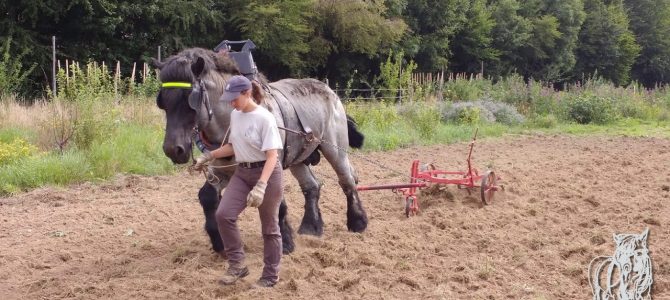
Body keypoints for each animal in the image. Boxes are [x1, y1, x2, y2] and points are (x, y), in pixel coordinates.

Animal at [154, 48, 368, 254]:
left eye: (189, 99)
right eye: (163, 102)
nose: (173, 149)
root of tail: (329, 90)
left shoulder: (271, 166)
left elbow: (276, 203)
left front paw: (285, 242)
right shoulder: (224, 169)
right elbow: (207, 195)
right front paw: (218, 240)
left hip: (334, 149)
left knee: (347, 180)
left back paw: (358, 222)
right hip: (298, 158)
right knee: (312, 186)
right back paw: (311, 227)